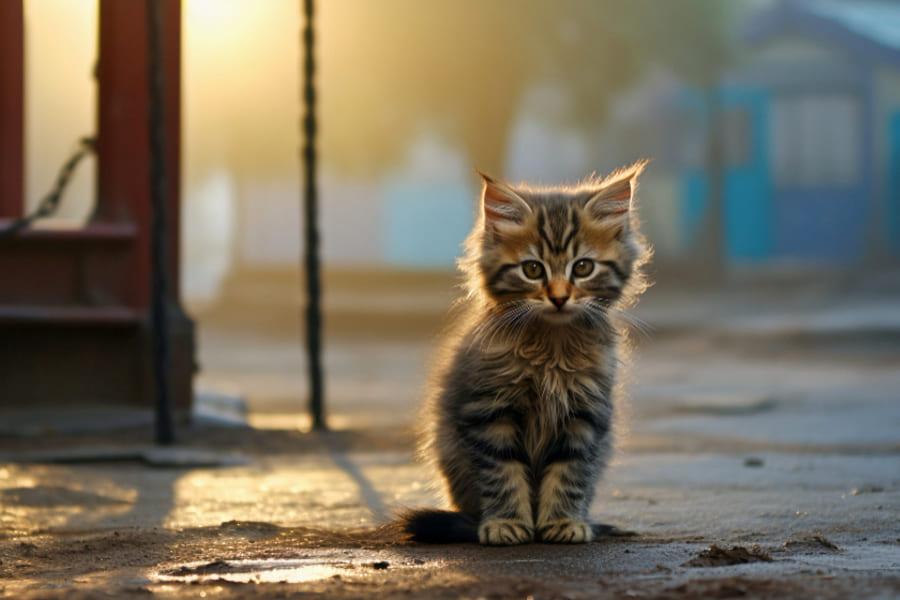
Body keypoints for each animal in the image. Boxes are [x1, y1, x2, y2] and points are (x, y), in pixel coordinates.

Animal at [404, 162, 652, 548]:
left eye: (583, 267)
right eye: (533, 269)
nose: (559, 297)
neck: (551, 346)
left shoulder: (585, 415)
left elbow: (570, 474)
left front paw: (564, 522)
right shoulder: (489, 412)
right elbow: (502, 474)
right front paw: (505, 523)